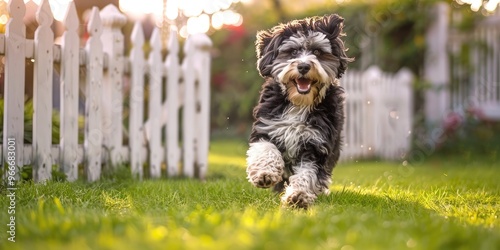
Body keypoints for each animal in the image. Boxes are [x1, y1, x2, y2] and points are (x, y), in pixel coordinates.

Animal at [246, 14, 352, 209]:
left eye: (317, 52)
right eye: (293, 52)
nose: (303, 66)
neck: (299, 103)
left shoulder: (316, 144)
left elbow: (308, 173)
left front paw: (299, 195)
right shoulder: (267, 127)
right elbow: (266, 149)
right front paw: (265, 173)